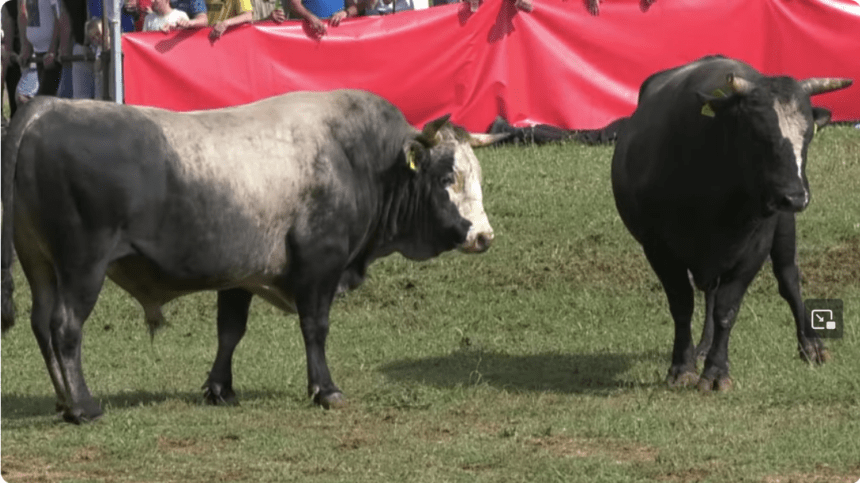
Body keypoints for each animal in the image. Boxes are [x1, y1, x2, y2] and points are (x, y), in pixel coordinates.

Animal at [0, 91, 500, 424]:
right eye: (447, 178)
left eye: (476, 175)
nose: (484, 236)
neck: (355, 157)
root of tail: (48, 106)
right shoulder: (319, 264)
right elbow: (315, 328)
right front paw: (325, 389)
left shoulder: (237, 276)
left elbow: (230, 332)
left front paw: (220, 388)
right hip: (82, 266)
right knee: (65, 327)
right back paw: (83, 406)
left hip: (41, 265)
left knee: (42, 324)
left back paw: (64, 400)